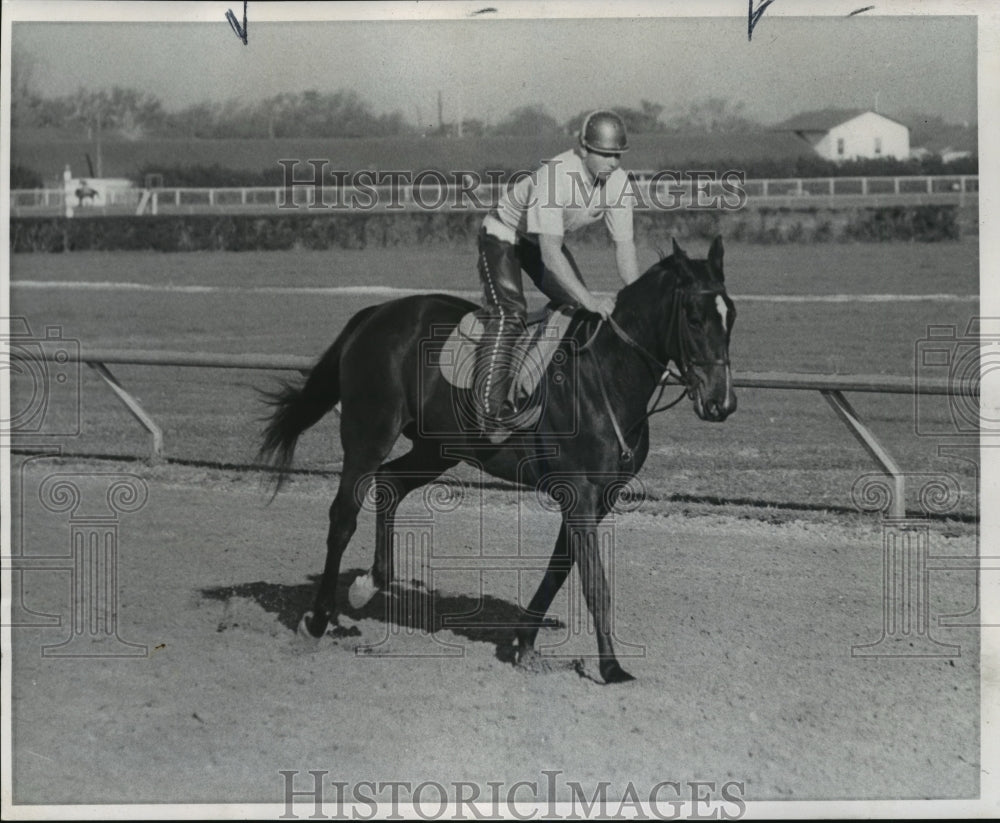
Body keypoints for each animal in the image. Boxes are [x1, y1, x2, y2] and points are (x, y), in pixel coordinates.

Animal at [262, 237, 740, 684]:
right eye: (693, 317)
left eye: (730, 316)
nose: (722, 403)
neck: (605, 374)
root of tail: (377, 313)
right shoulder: (580, 494)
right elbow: (595, 582)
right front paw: (612, 667)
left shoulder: (598, 498)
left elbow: (560, 567)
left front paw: (525, 643)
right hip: (367, 435)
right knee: (344, 516)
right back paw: (318, 620)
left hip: (435, 449)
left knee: (391, 485)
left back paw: (370, 583)